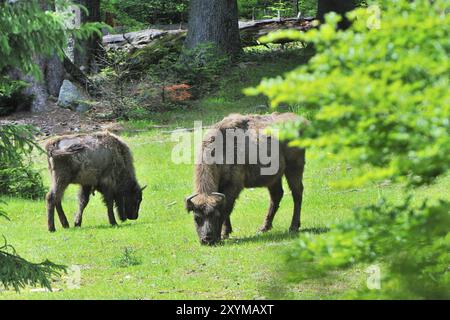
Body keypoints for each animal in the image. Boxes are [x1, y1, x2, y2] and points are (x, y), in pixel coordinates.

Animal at [185, 112, 308, 245]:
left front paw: (223, 234)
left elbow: (227, 209)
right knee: (277, 196)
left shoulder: (232, 187)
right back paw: (264, 228)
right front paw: (226, 233)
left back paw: (293, 226)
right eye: (196, 218)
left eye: (216, 216)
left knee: (297, 194)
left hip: (294, 169)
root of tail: (300, 120)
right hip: (274, 178)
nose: (207, 239)